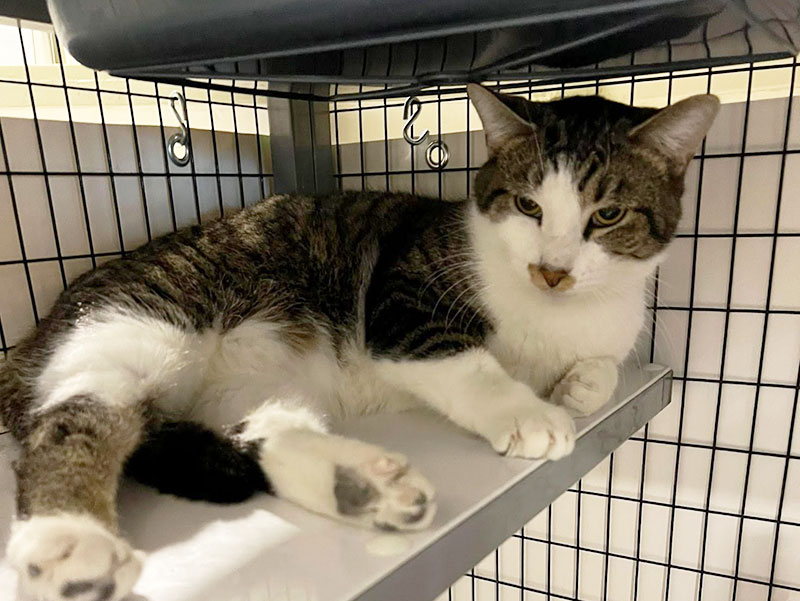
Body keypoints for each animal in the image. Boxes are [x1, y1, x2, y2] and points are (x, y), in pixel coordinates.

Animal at [0, 84, 720, 600]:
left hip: (241, 386)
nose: (552, 270)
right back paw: (68, 538)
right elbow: (466, 361)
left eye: (608, 215)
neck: (552, 316)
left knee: (260, 426)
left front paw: (578, 385)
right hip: (137, 321)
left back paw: (360, 485)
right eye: (527, 206)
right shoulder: (401, 300)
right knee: (73, 420)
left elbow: (604, 365)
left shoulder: (612, 324)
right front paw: (527, 411)